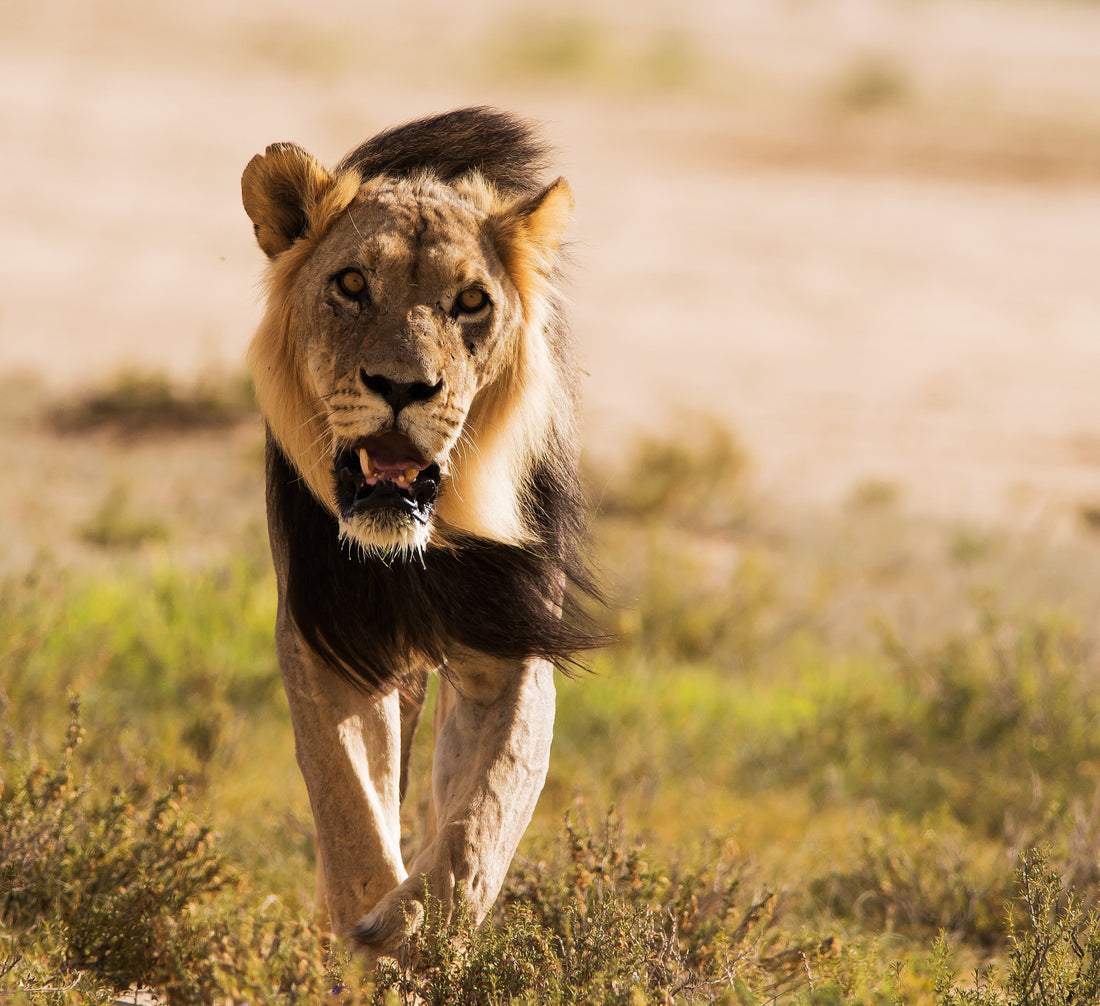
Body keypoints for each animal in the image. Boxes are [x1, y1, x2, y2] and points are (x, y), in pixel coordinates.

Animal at [240, 106, 602, 954]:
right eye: (350, 285)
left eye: (470, 302)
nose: (403, 387)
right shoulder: (329, 639)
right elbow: (349, 809)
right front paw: (365, 925)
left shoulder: (510, 647)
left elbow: (481, 817)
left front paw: (419, 931)